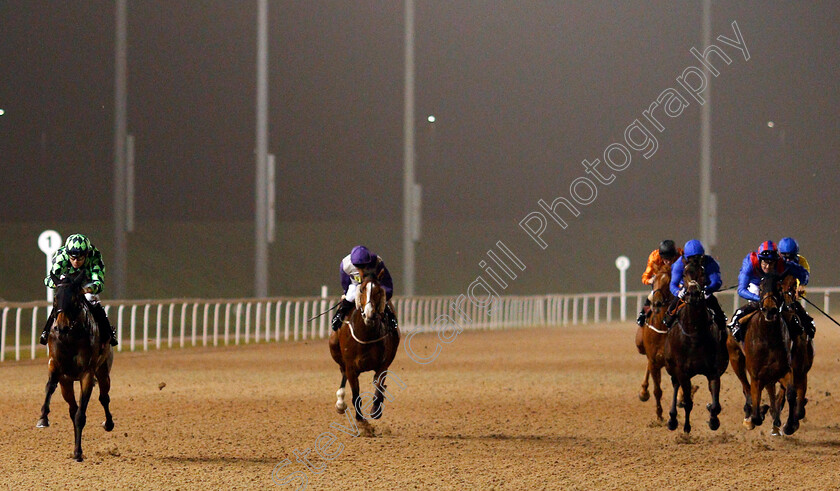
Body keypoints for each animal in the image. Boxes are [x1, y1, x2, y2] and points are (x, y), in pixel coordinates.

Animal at [35, 270, 113, 464]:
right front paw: (43, 418)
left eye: (74, 298)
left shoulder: (87, 373)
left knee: (104, 397)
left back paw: (108, 423)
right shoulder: (56, 366)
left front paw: (78, 452)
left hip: (103, 371)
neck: (70, 337)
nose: (61, 326)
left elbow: (81, 415)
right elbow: (50, 387)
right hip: (67, 383)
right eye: (56, 297)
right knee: (72, 408)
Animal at [328, 274, 400, 424]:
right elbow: (356, 395)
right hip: (335, 350)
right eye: (361, 289)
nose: (369, 314)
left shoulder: (383, 365)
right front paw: (360, 419)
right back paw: (340, 403)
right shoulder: (350, 366)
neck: (366, 335)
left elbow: (379, 386)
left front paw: (376, 410)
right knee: (342, 372)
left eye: (378, 291)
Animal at [664, 260, 728, 432]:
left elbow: (715, 404)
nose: (693, 294)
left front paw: (713, 420)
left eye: (702, 272)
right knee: (675, 385)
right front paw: (686, 427)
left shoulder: (713, 371)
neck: (695, 333)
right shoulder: (682, 371)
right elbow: (687, 402)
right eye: (684, 273)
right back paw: (672, 419)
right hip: (672, 367)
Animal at [724, 272, 796, 434]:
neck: (768, 336)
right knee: (746, 388)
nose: (770, 310)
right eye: (761, 287)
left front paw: (788, 425)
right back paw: (750, 415)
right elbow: (756, 413)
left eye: (779, 287)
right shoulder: (756, 376)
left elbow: (790, 393)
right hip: (736, 359)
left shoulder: (784, 370)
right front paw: (758, 413)